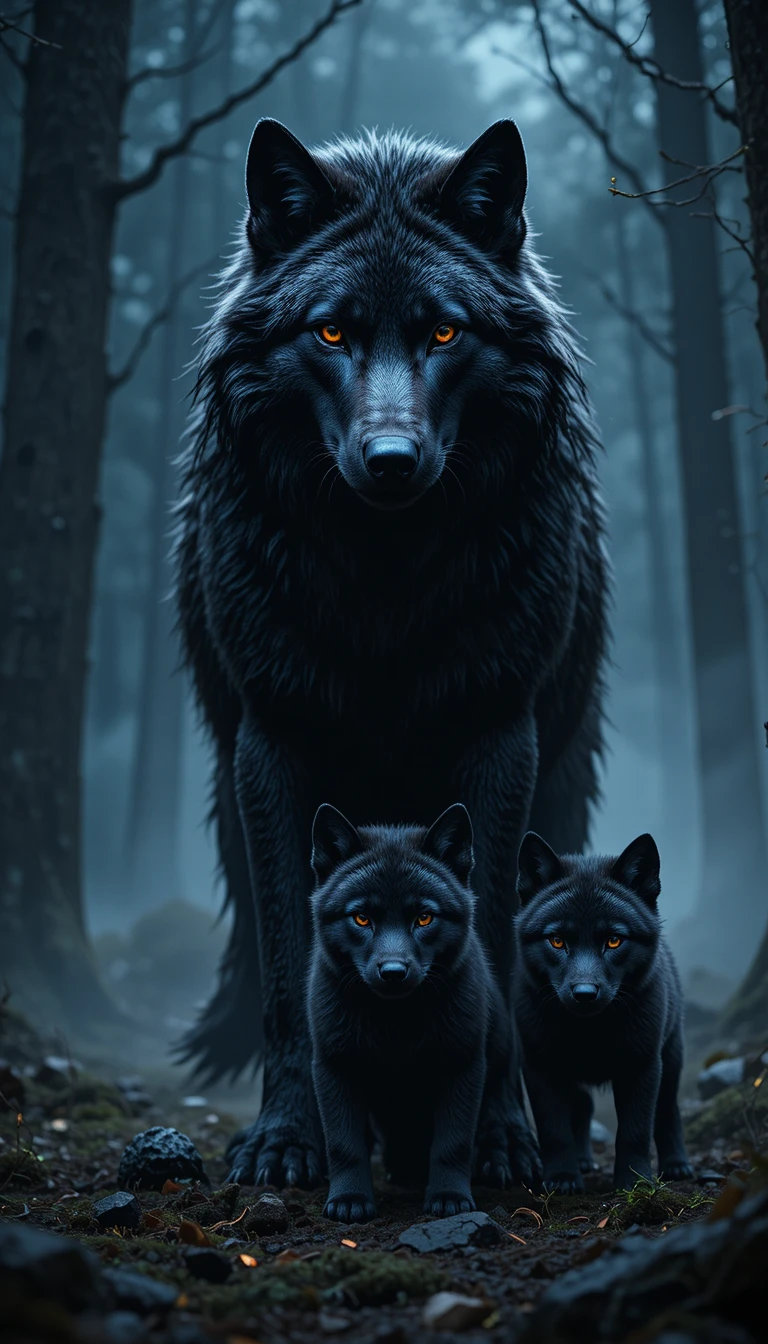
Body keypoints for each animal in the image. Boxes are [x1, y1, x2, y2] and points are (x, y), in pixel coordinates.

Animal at [308, 803, 525, 1221]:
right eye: (361, 918)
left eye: (424, 917)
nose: (393, 972)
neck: (396, 1024)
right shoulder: (334, 1066)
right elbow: (344, 1146)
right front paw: (349, 1201)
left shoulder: (463, 1065)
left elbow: (452, 1144)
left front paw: (450, 1199)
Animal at [514, 831, 694, 1192]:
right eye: (557, 941)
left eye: (613, 940)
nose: (585, 993)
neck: (589, 1032)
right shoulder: (539, 1068)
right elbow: (554, 1131)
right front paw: (563, 1180)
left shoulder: (642, 1066)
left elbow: (635, 1132)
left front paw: (635, 1183)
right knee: (583, 1107)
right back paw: (583, 1162)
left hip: (671, 1059)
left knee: (668, 1111)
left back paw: (677, 1165)